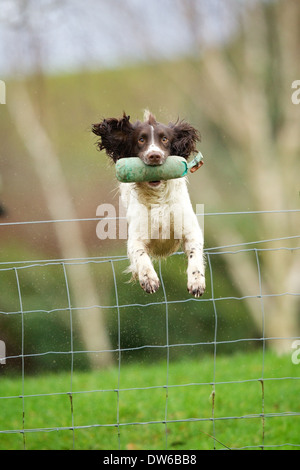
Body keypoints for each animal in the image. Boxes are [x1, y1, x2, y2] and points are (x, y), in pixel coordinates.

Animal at [92, 111, 205, 298]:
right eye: (141, 139)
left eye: (165, 139)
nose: (154, 155)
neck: (157, 197)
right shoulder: (136, 239)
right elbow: (140, 255)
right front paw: (149, 279)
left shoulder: (190, 231)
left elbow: (194, 255)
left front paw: (196, 282)